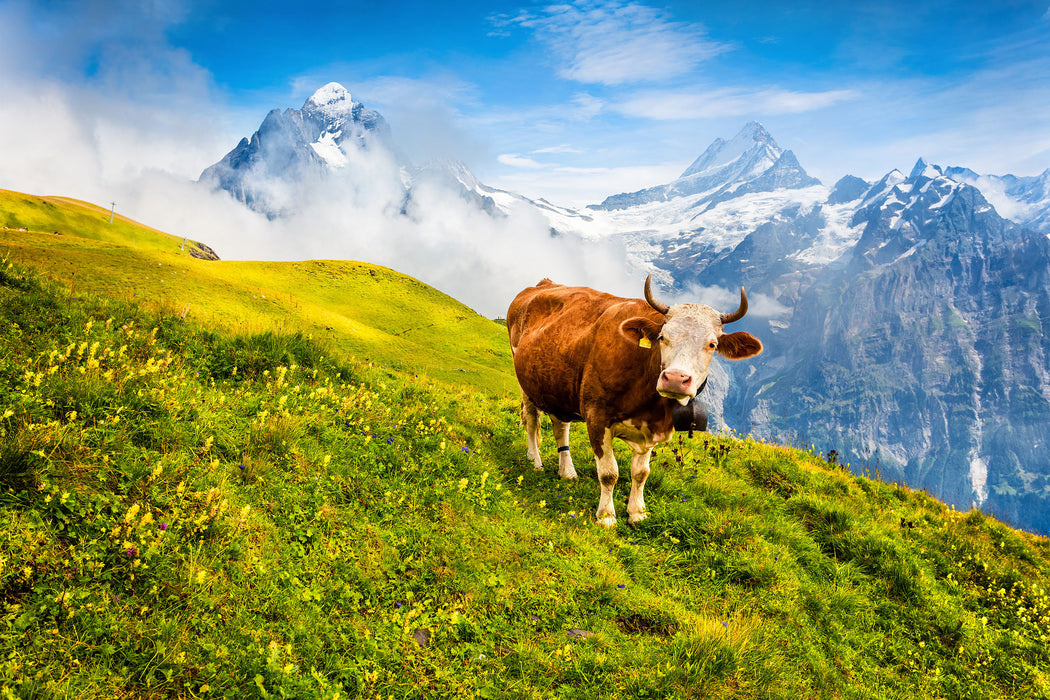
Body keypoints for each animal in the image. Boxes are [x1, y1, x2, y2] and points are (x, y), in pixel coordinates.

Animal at [503, 277, 760, 528]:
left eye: (712, 344)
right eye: (662, 337)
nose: (675, 379)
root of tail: (543, 283)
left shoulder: (652, 428)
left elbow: (641, 473)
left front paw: (637, 513)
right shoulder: (597, 416)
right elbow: (609, 473)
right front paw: (606, 516)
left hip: (557, 387)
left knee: (560, 427)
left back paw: (567, 471)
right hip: (525, 381)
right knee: (531, 421)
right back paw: (535, 461)